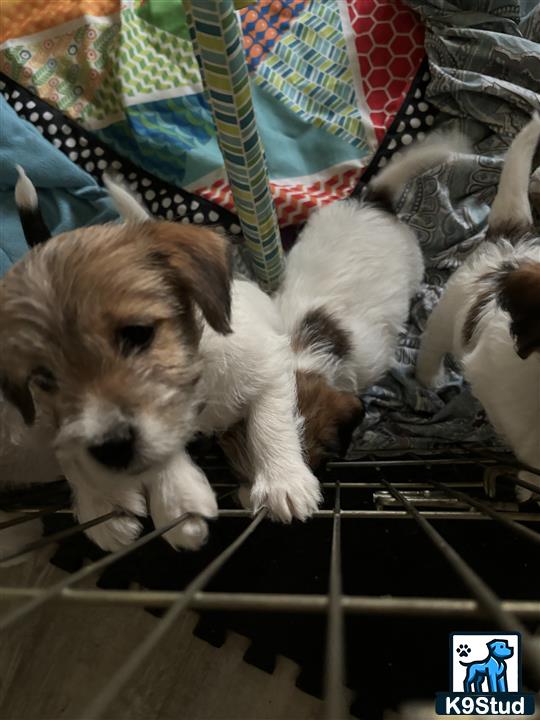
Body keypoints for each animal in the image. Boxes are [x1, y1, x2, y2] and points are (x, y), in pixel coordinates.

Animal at [0, 170, 318, 552]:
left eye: (138, 334)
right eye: (45, 377)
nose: (110, 450)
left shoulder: (270, 365)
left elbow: (268, 424)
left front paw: (283, 481)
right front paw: (174, 503)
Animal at [418, 115, 540, 498]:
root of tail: (510, 237)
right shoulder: (499, 384)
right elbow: (529, 446)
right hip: (449, 312)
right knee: (432, 345)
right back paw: (428, 378)